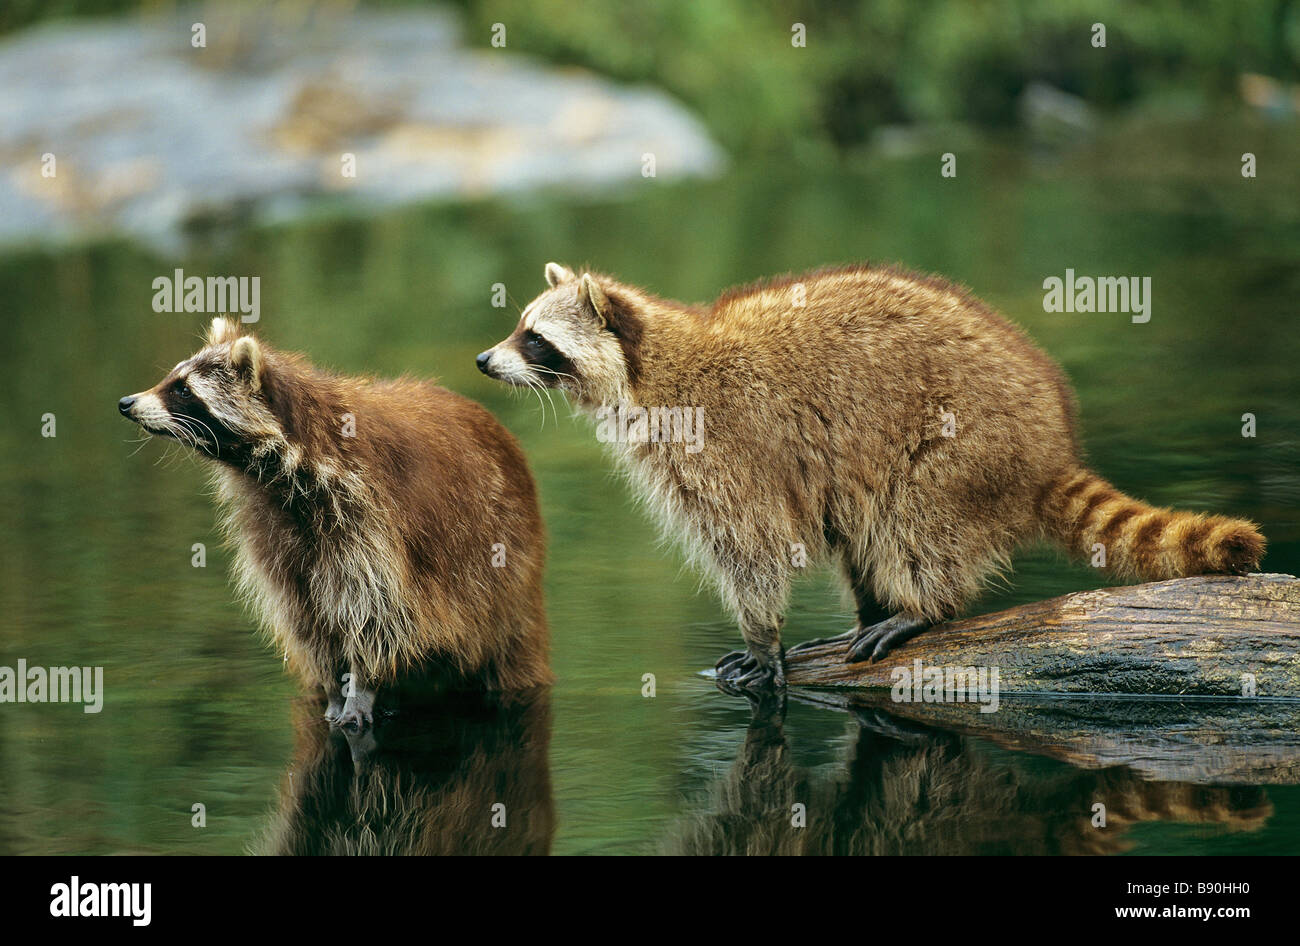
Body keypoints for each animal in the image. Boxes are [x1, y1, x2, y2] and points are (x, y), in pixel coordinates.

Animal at [119, 314, 551, 727]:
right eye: (172, 378)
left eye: (183, 390)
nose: (126, 402)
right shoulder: (274, 527)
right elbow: (307, 619)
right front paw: (332, 690)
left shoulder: (369, 517)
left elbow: (380, 616)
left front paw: (361, 687)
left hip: (505, 572)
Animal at [475, 262, 1258, 691]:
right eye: (518, 327)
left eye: (534, 339)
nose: (483, 360)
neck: (649, 368)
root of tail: (1049, 445)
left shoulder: (725, 444)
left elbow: (755, 545)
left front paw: (763, 639)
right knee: (865, 527)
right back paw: (877, 605)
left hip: (962, 445)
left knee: (914, 522)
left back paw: (921, 606)